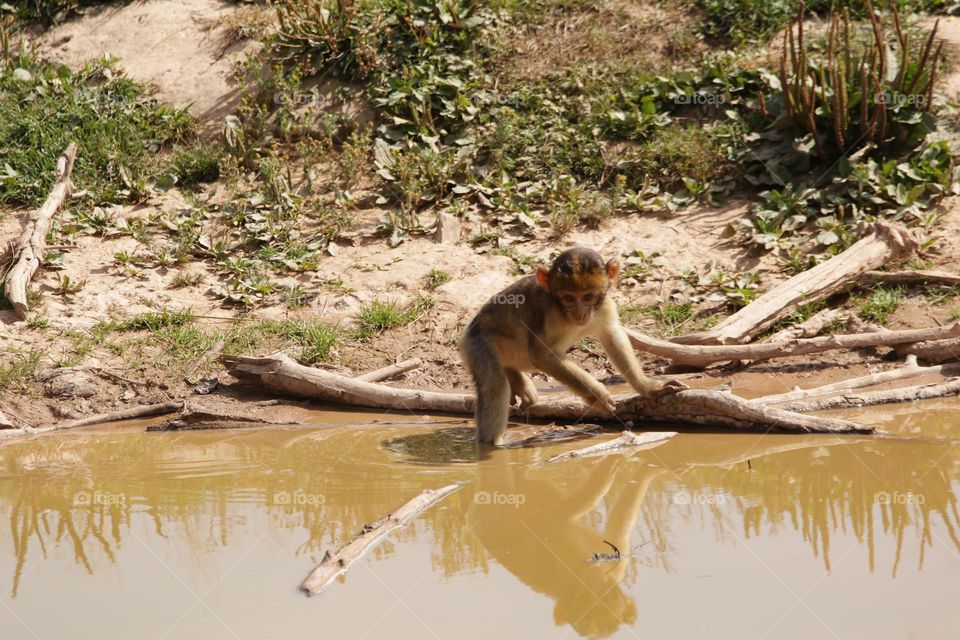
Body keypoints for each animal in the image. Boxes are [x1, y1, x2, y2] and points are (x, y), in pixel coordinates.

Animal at [461, 247, 687, 445]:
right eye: (568, 298)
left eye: (588, 297)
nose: (579, 314)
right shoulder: (551, 315)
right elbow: (543, 355)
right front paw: (597, 397)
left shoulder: (605, 305)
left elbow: (612, 336)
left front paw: (650, 388)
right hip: (476, 342)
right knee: (495, 385)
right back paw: (494, 445)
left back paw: (515, 378)